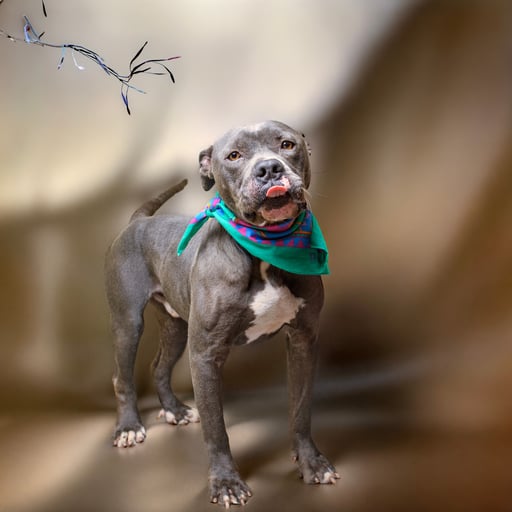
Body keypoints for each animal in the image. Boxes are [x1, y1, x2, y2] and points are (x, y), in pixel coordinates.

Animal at [105, 120, 339, 507]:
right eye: (234, 156)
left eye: (287, 145)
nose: (269, 168)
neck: (264, 249)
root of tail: (139, 221)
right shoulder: (206, 354)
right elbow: (217, 429)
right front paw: (226, 483)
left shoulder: (303, 340)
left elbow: (301, 409)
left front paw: (311, 464)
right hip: (128, 324)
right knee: (122, 377)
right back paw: (128, 427)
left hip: (176, 327)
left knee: (159, 366)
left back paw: (175, 409)